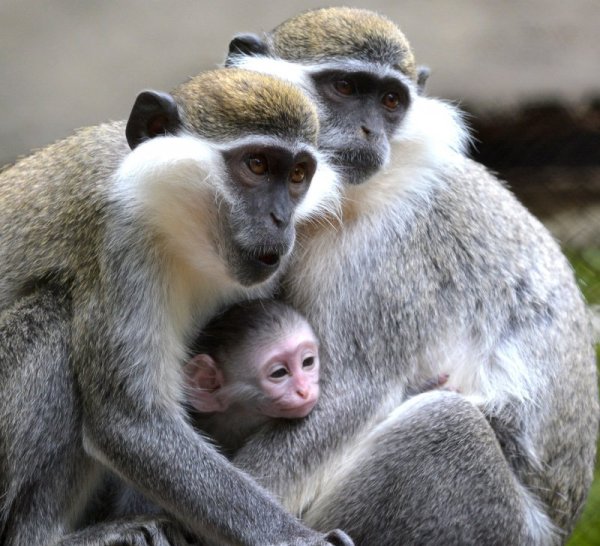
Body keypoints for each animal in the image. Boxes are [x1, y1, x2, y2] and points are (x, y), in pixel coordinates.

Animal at [213, 8, 596, 544]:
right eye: (345, 87)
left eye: (391, 101)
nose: (369, 131)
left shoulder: (387, 254)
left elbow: (352, 389)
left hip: (491, 524)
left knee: (449, 424)